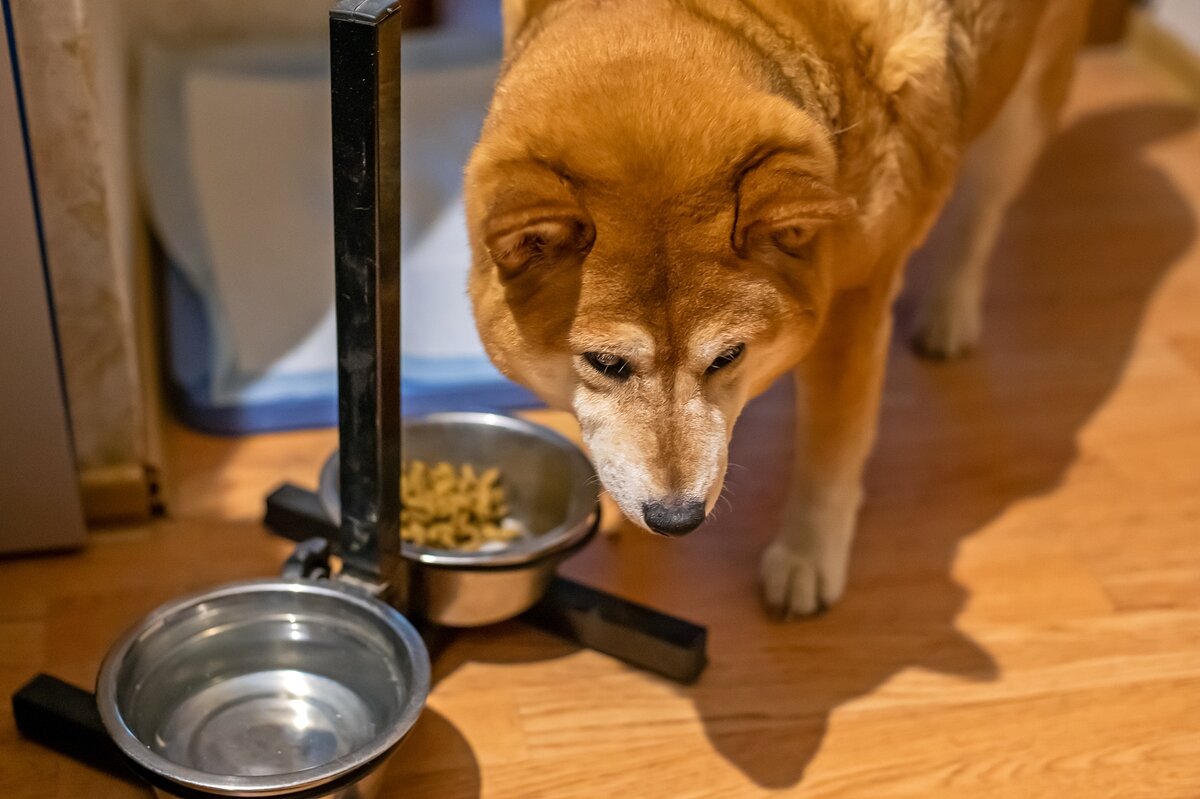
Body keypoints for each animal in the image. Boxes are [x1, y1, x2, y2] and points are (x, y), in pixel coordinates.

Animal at [463, 0, 1094, 614]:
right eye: (606, 363)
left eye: (727, 357)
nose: (677, 519)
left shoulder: (853, 302)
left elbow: (831, 450)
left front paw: (806, 558)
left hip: (1019, 112)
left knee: (981, 212)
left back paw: (949, 314)